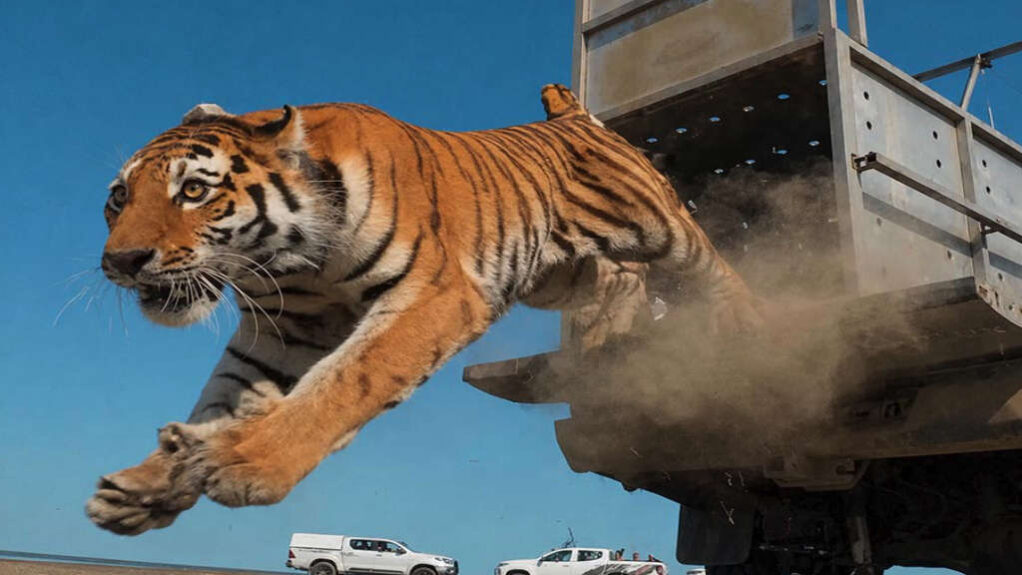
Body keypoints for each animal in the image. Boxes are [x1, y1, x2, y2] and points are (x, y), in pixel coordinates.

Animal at [86, 84, 759, 535]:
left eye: (194, 190)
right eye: (118, 198)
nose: (121, 261)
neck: (291, 261)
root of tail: (570, 114)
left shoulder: (436, 295)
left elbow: (347, 381)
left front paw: (243, 460)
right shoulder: (286, 328)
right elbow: (225, 395)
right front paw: (149, 484)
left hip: (656, 221)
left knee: (709, 265)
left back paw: (745, 324)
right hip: (555, 272)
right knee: (620, 280)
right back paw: (604, 346)